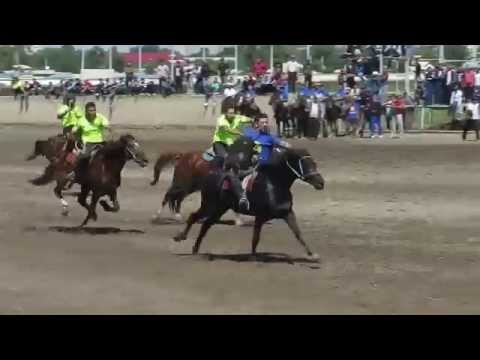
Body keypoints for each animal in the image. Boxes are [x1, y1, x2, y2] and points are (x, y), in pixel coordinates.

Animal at [173, 146, 326, 262]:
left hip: (220, 209)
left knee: (206, 224)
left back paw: (195, 248)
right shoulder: (261, 216)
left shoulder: (286, 213)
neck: (273, 184)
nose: (321, 183)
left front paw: (312, 255)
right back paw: (181, 237)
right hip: (209, 205)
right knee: (194, 217)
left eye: (314, 163)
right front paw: (253, 256)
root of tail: (210, 175)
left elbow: (298, 234)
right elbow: (256, 237)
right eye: (304, 164)